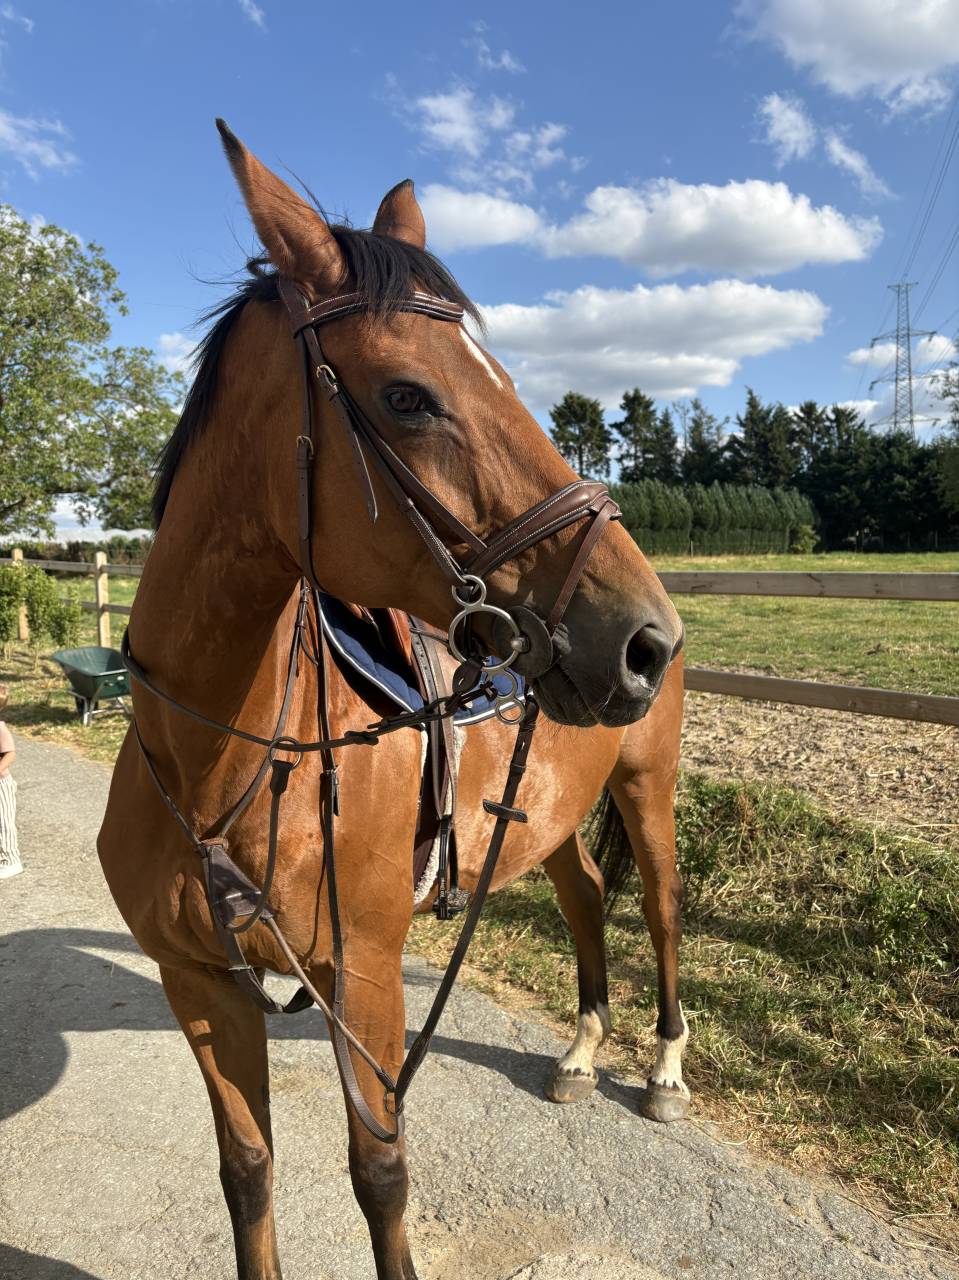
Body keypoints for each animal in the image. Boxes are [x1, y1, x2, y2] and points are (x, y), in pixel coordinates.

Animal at [97, 121, 688, 1280]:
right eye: (407, 396)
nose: (644, 641)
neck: (217, 766)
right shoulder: (200, 985)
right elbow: (247, 1172)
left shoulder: (362, 976)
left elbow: (379, 1174)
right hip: (550, 809)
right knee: (586, 897)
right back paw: (581, 1049)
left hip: (648, 788)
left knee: (661, 907)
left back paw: (662, 1069)